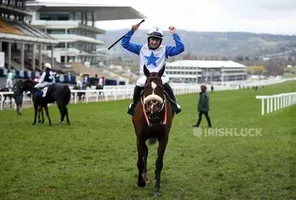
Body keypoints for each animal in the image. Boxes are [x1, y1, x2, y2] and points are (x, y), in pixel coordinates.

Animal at [132, 65, 173, 196]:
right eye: (145, 87)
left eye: (161, 87)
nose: (153, 105)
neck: (153, 117)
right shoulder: (140, 136)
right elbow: (140, 161)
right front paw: (140, 182)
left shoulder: (164, 137)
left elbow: (159, 162)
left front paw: (157, 188)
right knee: (145, 152)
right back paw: (145, 176)